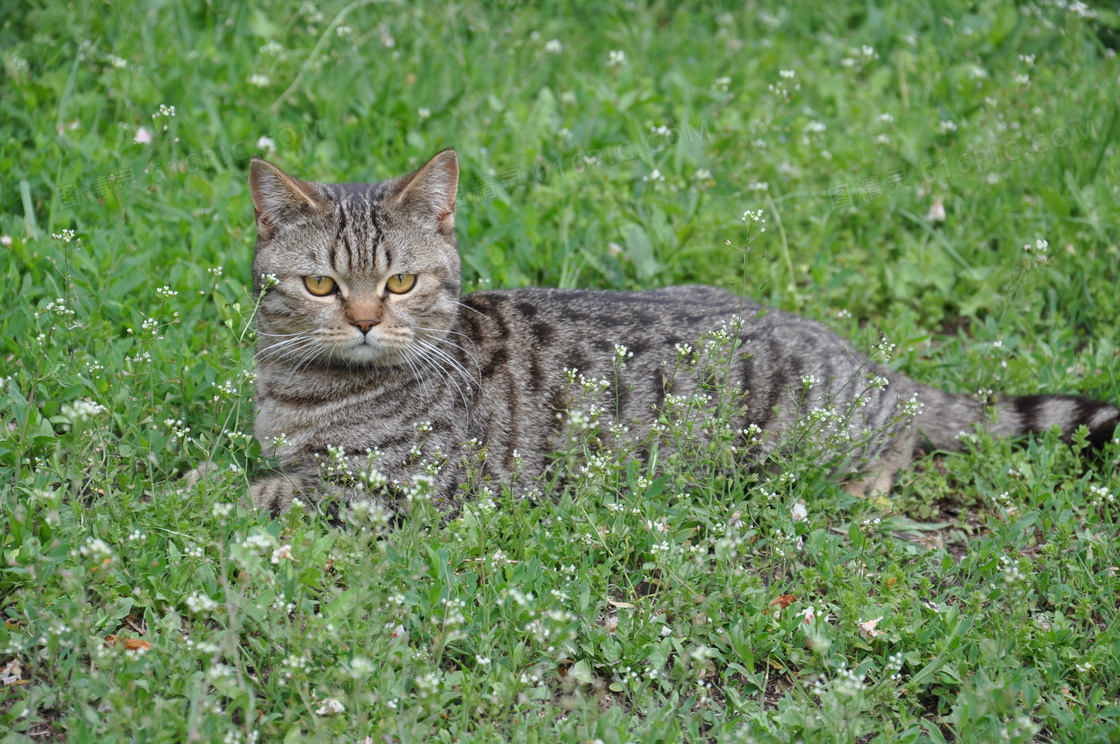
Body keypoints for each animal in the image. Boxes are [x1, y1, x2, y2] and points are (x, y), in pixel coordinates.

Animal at [247, 149, 1120, 515]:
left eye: (400, 283)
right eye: (322, 285)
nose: (365, 321)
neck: (300, 393)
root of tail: (868, 362)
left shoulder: (395, 488)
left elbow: (263, 490)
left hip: (815, 432)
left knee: (901, 436)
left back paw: (862, 485)